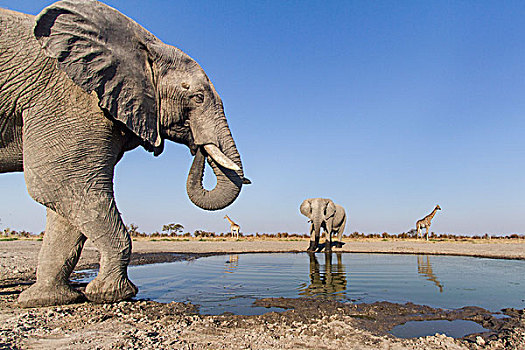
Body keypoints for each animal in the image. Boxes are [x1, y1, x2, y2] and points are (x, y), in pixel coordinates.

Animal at [0, 0, 249, 306]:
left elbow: (64, 197)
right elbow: (62, 188)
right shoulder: (68, 98)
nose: (198, 147)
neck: (144, 45)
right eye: (198, 97)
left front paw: (58, 298)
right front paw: (108, 295)